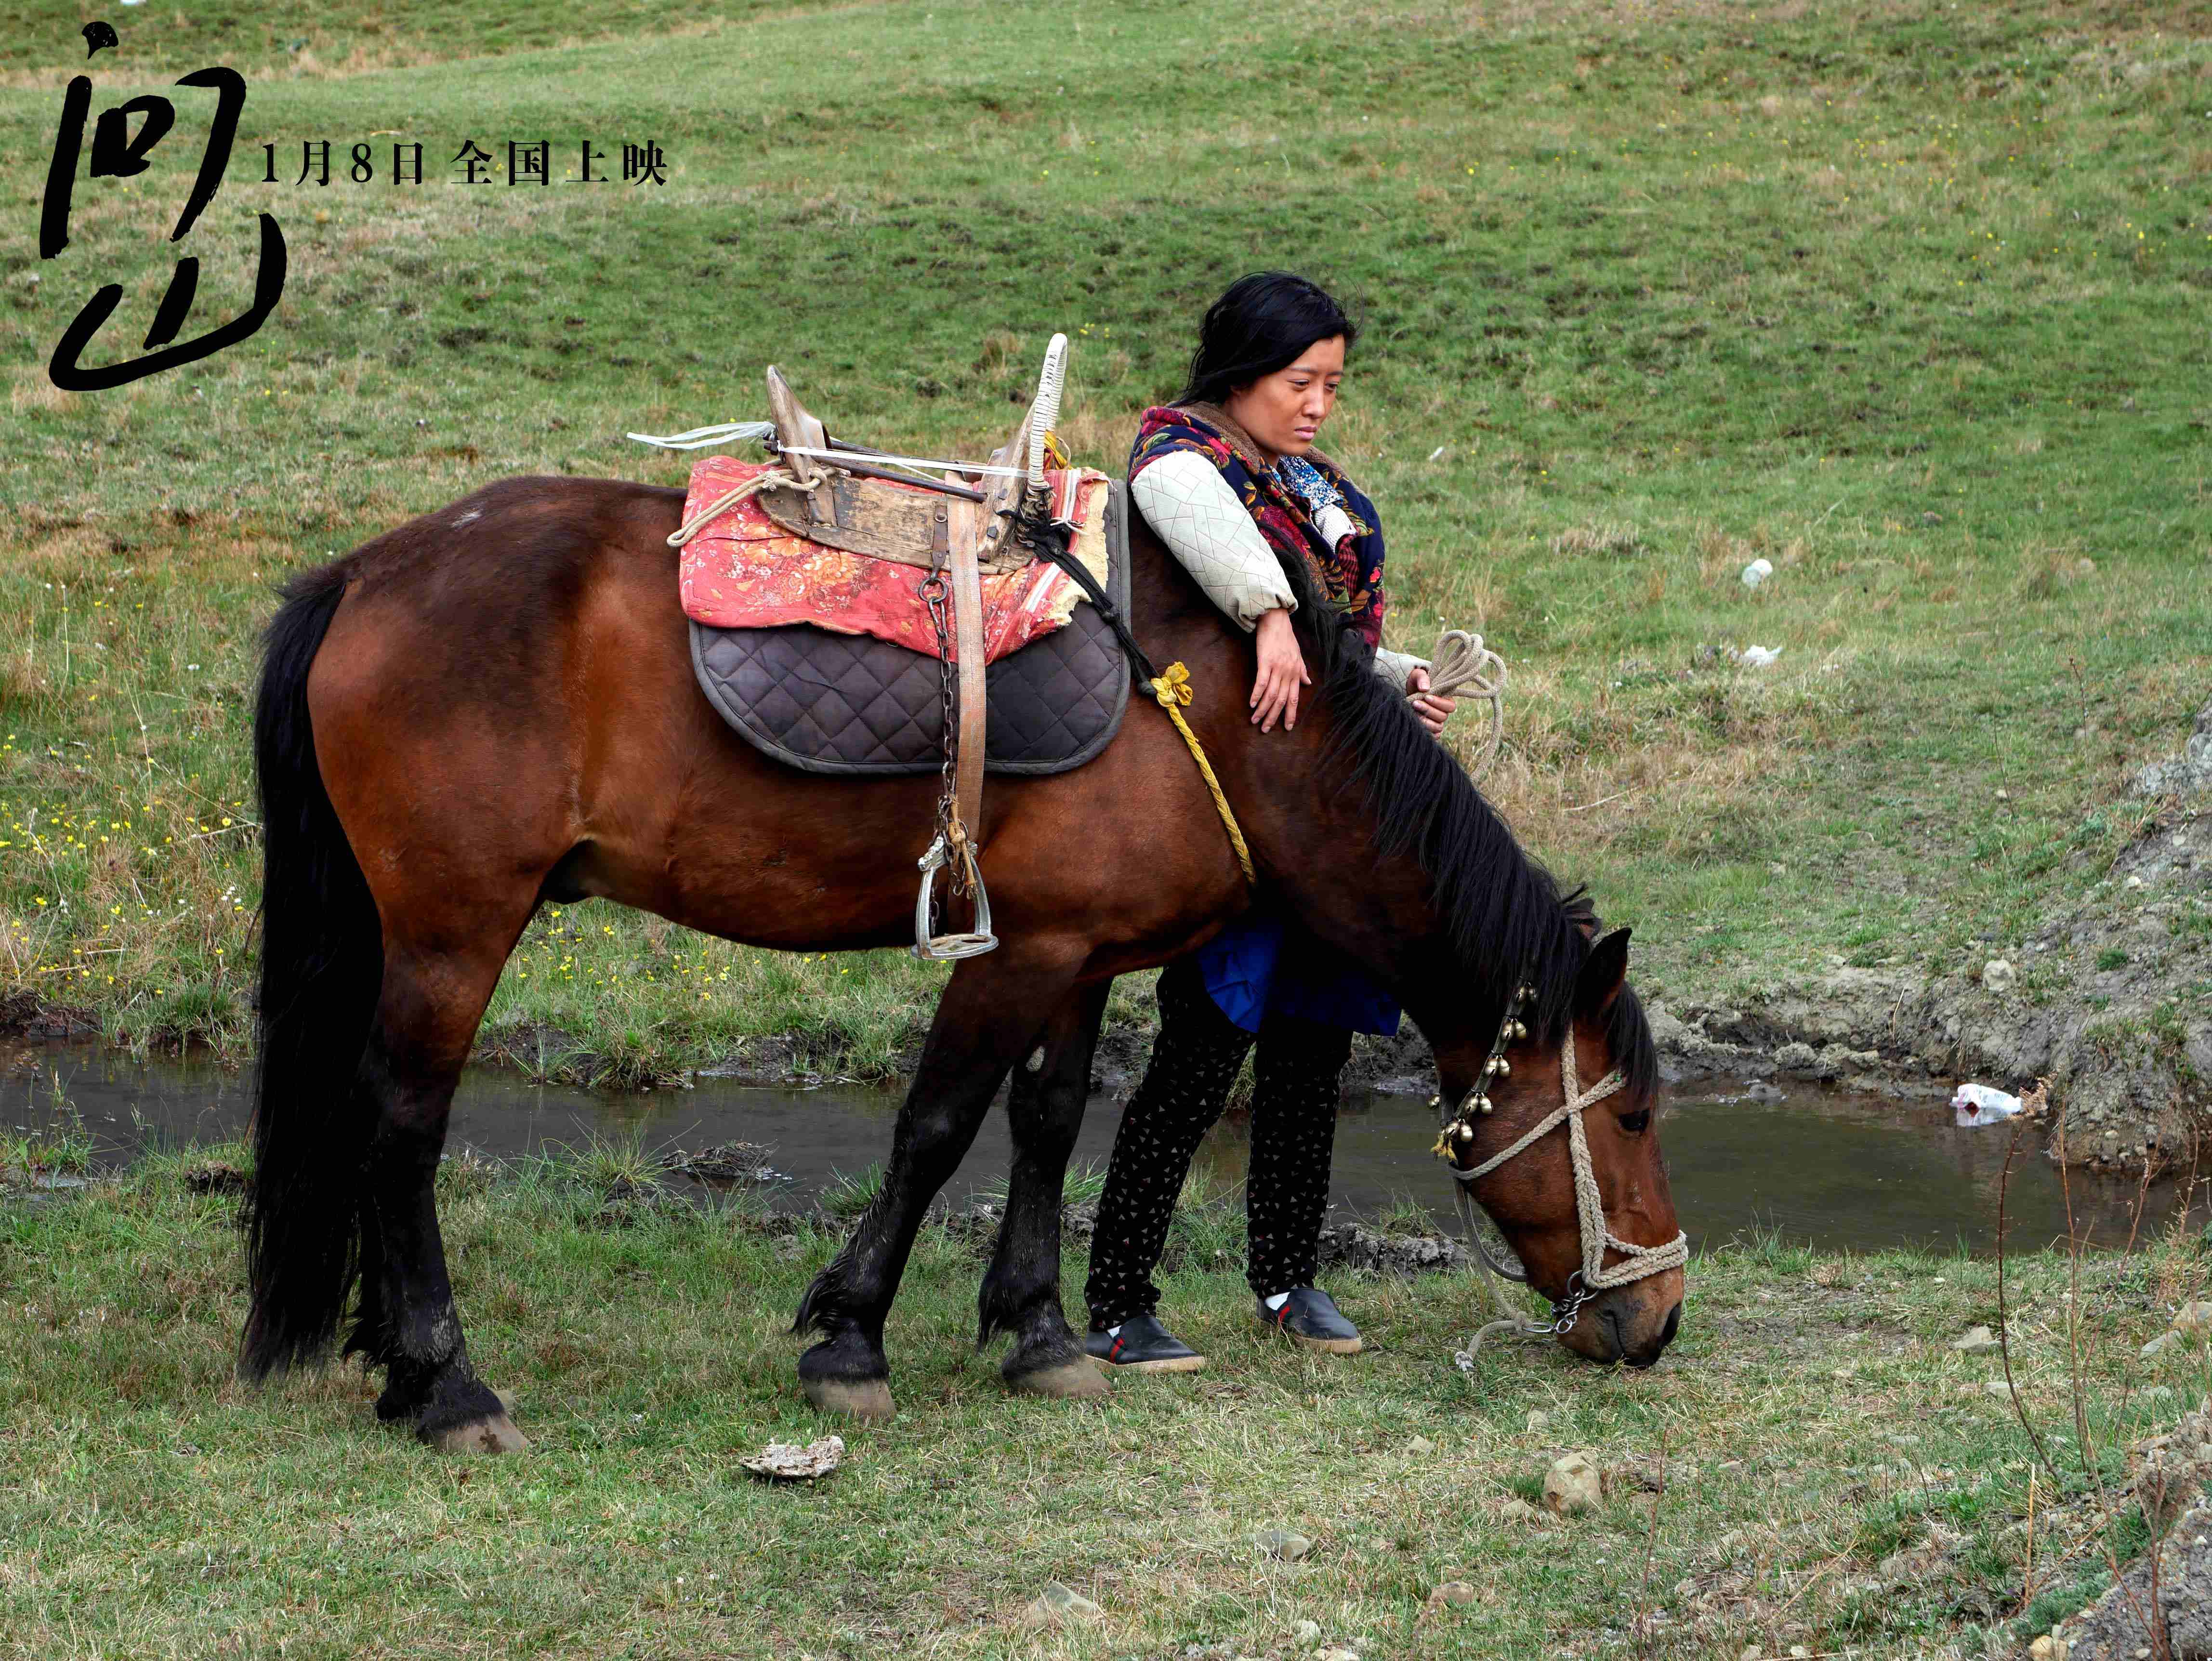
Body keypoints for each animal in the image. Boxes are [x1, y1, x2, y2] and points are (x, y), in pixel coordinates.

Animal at [242, 471, 1681, 1450]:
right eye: (1634, 1119)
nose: (1658, 1319)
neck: (1220, 712)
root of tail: (366, 574)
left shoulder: (1081, 954)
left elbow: (1048, 1123)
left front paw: (1039, 1334)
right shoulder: (1015, 953)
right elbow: (935, 1127)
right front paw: (850, 1337)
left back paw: (392, 1362)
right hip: (454, 930)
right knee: (400, 1126)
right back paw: (445, 1381)